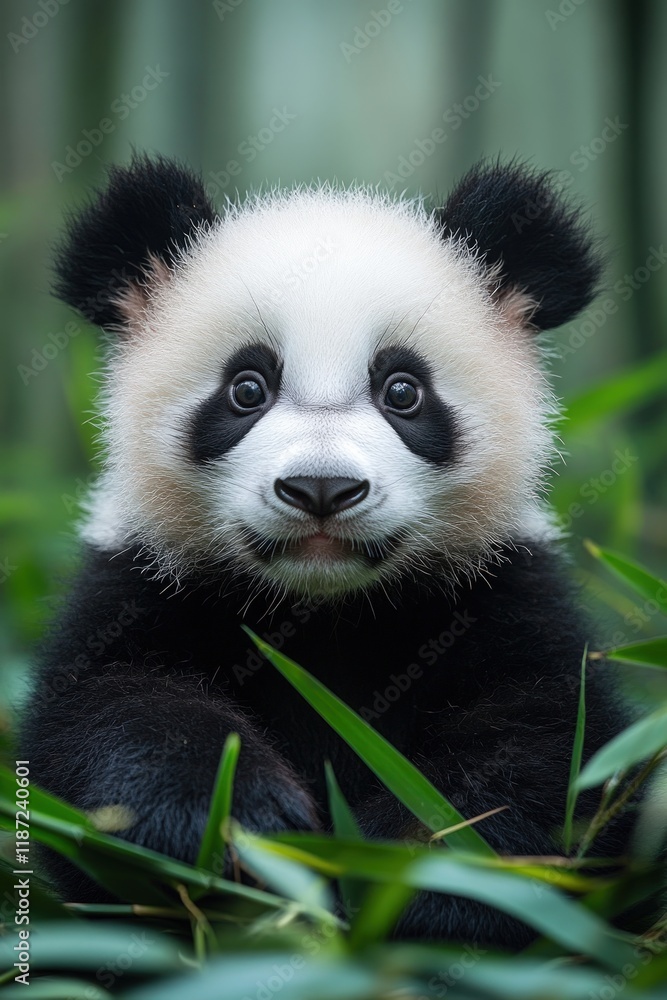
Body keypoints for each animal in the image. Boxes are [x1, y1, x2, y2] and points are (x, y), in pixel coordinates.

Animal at [23, 154, 630, 947]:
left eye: (402, 390)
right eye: (246, 387)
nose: (320, 487)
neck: (325, 609)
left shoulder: (500, 589)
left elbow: (545, 753)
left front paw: (400, 872)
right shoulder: (142, 581)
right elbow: (107, 713)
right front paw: (234, 826)